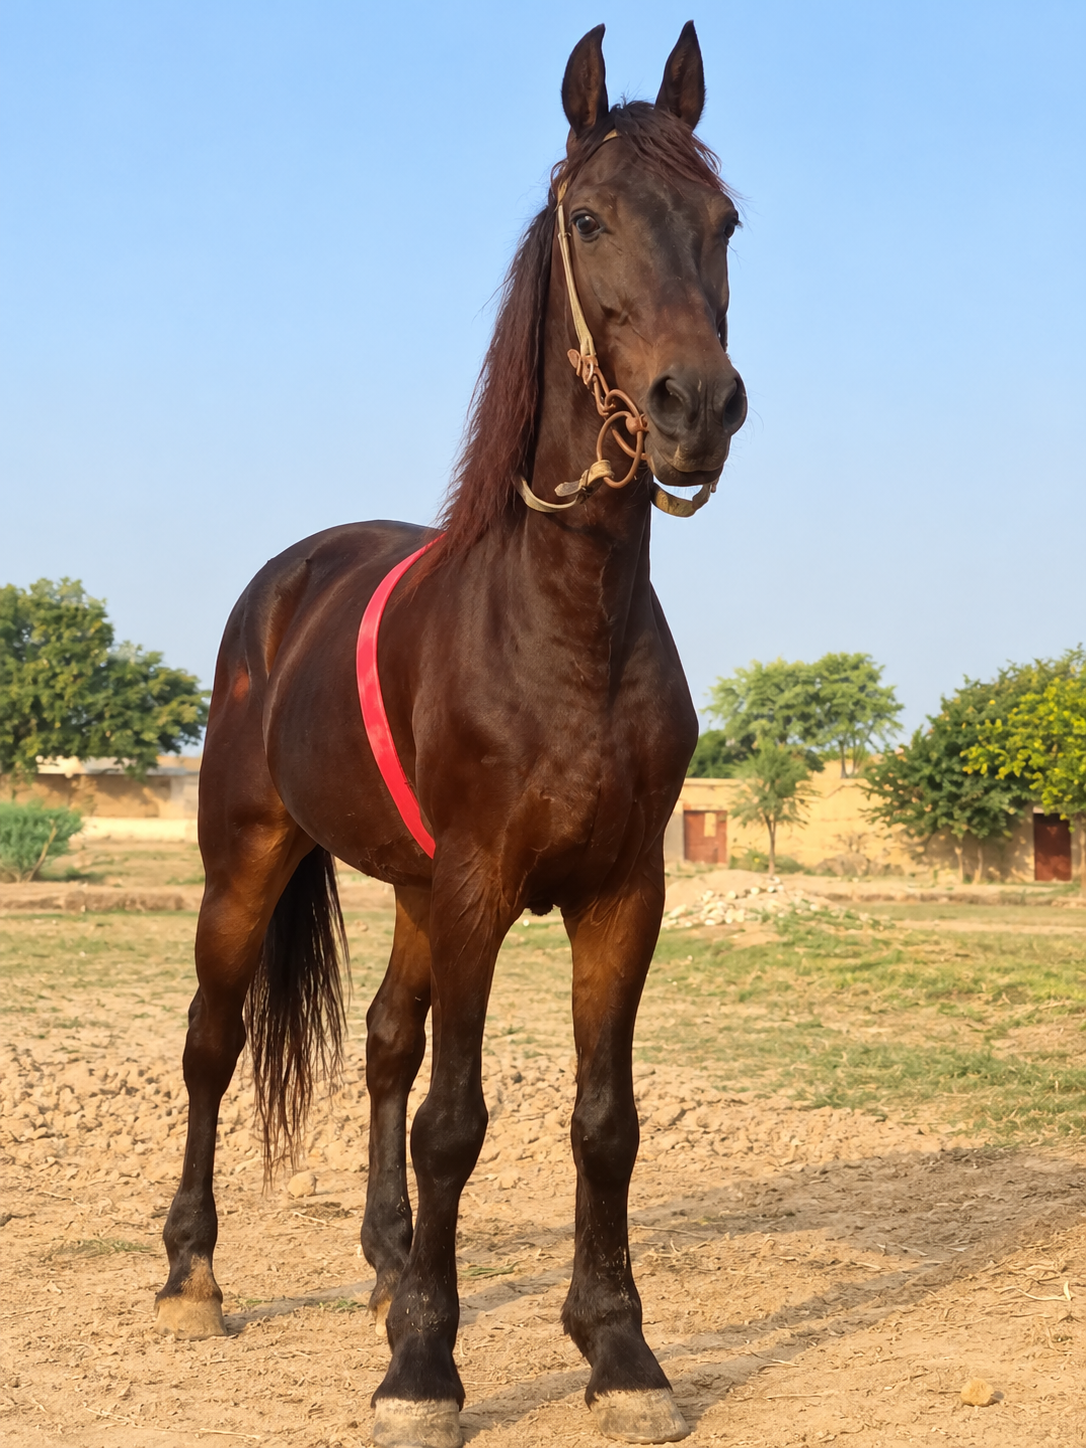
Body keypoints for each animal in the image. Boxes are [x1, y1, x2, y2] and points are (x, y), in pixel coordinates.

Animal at [154, 22, 746, 1447]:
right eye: (587, 218)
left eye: (725, 224)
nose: (697, 405)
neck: (567, 621)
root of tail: (285, 584)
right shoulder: (481, 886)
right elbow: (456, 1123)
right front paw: (426, 1370)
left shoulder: (619, 893)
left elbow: (602, 1119)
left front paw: (619, 1350)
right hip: (247, 865)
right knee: (213, 1045)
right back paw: (193, 1275)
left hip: (416, 892)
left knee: (380, 1040)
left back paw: (384, 1265)